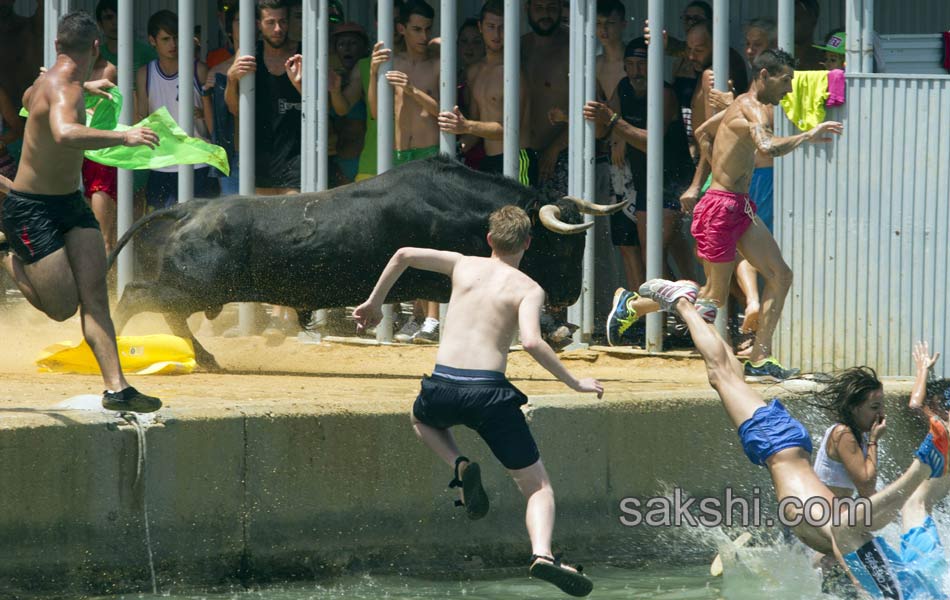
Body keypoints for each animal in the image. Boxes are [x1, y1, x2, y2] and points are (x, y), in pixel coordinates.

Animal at [109, 157, 624, 368]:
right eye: (561, 246)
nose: (570, 296)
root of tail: (191, 209)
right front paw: (555, 332)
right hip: (195, 286)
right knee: (137, 296)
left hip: (199, 289)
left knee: (168, 313)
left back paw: (206, 357)